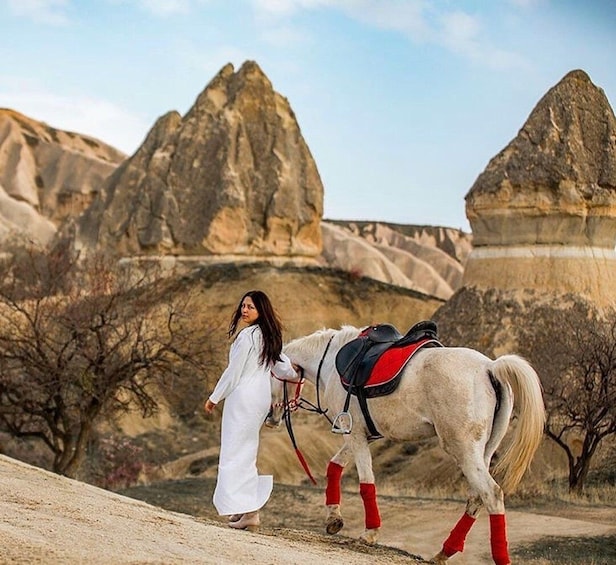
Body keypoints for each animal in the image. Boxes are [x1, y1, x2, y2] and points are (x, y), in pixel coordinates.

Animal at [268, 326, 548, 564]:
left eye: (269, 375)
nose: (271, 418)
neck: (331, 362)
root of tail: (490, 367)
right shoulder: (361, 435)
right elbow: (334, 466)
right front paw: (334, 519)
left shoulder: (354, 434)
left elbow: (366, 482)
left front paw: (370, 533)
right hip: (484, 451)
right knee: (475, 498)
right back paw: (443, 552)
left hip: (463, 450)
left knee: (491, 494)